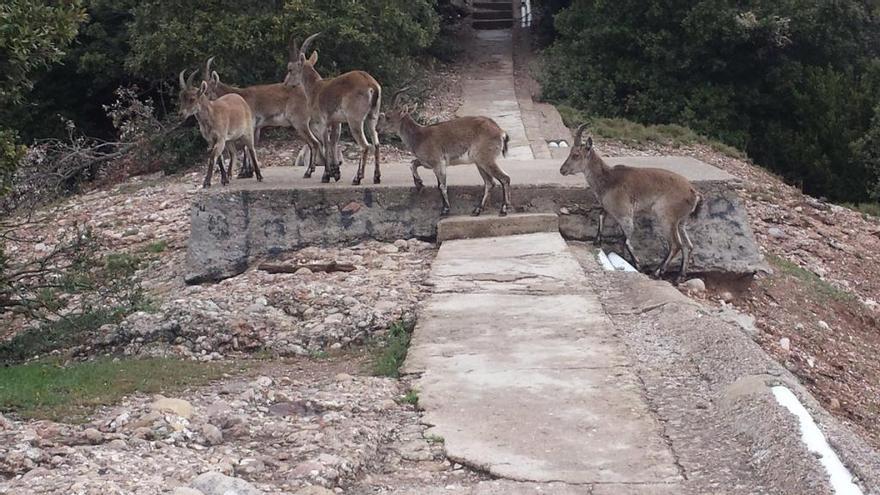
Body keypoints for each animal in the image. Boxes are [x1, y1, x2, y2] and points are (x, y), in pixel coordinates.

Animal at [286, 33, 382, 185]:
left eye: (290, 68)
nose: (286, 83)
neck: (315, 88)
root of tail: (371, 84)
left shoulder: (322, 122)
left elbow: (326, 143)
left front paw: (326, 175)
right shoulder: (337, 122)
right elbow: (334, 142)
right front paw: (336, 173)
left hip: (355, 120)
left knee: (365, 145)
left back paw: (357, 178)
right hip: (372, 117)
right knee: (376, 143)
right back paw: (376, 177)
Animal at [380, 92, 516, 216]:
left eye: (388, 116)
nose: (378, 129)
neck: (419, 137)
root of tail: (501, 132)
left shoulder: (438, 163)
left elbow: (442, 186)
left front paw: (445, 210)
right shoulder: (427, 162)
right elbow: (413, 163)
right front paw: (419, 184)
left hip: (485, 159)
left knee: (504, 178)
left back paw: (503, 209)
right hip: (479, 162)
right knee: (489, 183)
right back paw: (477, 209)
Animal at [564, 124, 700, 280]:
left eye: (576, 155)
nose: (562, 170)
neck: (607, 180)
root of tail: (693, 193)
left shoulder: (625, 214)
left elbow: (627, 240)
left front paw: (638, 265)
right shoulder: (608, 208)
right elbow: (601, 216)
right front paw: (596, 241)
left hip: (667, 217)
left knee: (676, 245)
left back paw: (657, 272)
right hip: (682, 221)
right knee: (688, 245)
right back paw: (679, 277)